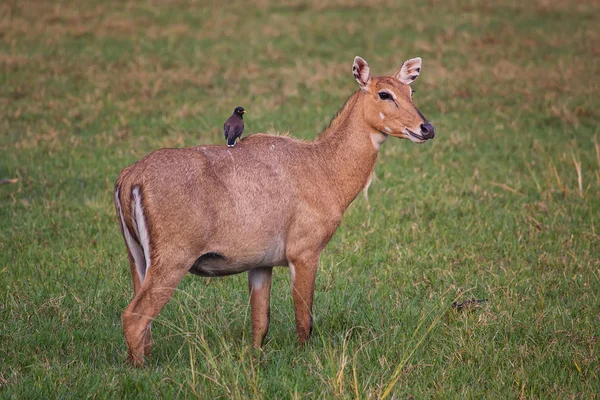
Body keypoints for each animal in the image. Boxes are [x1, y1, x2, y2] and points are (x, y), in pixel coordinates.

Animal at [115, 55, 436, 366]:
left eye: (411, 91)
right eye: (384, 94)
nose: (427, 128)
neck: (325, 169)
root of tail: (129, 179)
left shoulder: (261, 263)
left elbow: (260, 322)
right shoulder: (304, 251)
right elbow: (304, 319)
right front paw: (304, 359)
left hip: (137, 257)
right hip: (172, 259)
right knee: (134, 316)